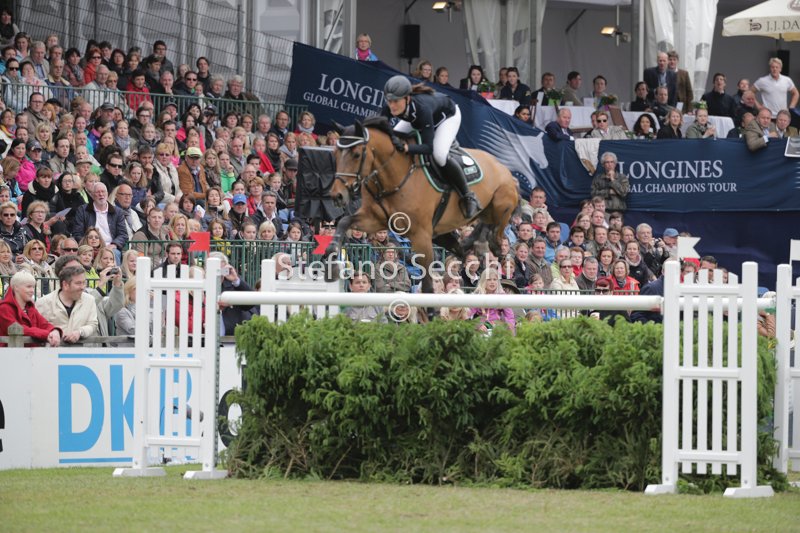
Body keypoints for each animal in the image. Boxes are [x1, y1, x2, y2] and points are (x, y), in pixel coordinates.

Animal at [327, 116, 520, 293]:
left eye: (356, 155)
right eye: (334, 154)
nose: (337, 195)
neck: (392, 177)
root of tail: (502, 166)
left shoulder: (421, 235)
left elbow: (427, 284)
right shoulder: (375, 219)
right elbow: (344, 221)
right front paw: (332, 262)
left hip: (502, 202)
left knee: (496, 229)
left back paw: (487, 243)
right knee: (483, 228)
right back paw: (466, 244)